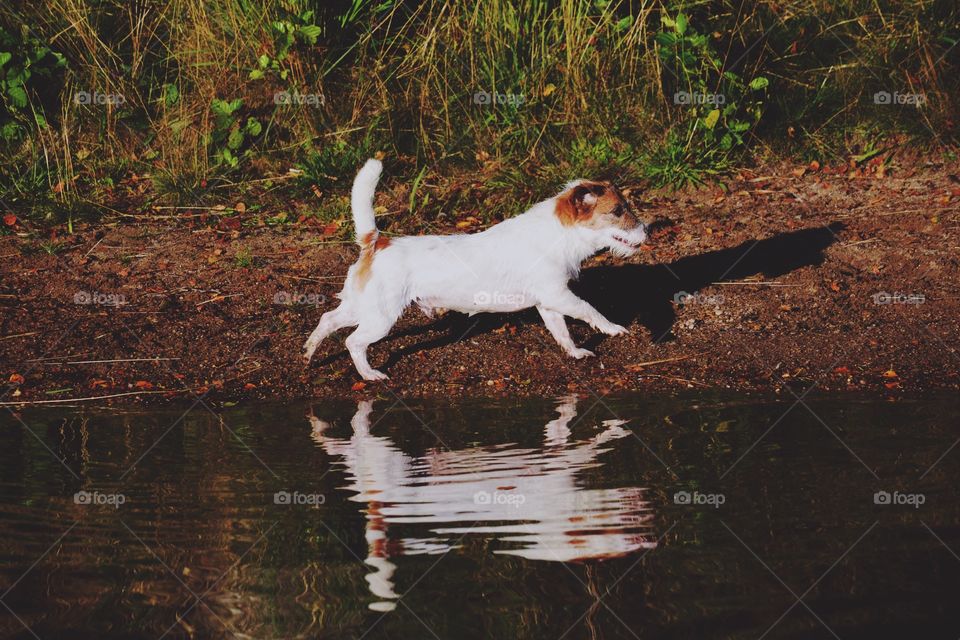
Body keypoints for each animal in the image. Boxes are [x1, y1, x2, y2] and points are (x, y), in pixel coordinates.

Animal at [302, 159, 644, 380]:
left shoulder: (550, 304)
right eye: (618, 211)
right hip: (380, 318)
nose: (648, 231)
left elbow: (562, 333)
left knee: (327, 320)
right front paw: (612, 328)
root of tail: (377, 242)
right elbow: (590, 310)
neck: (559, 234)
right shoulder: (559, 296)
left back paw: (308, 352)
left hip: (363, 307)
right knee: (353, 342)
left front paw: (575, 353)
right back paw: (370, 374)